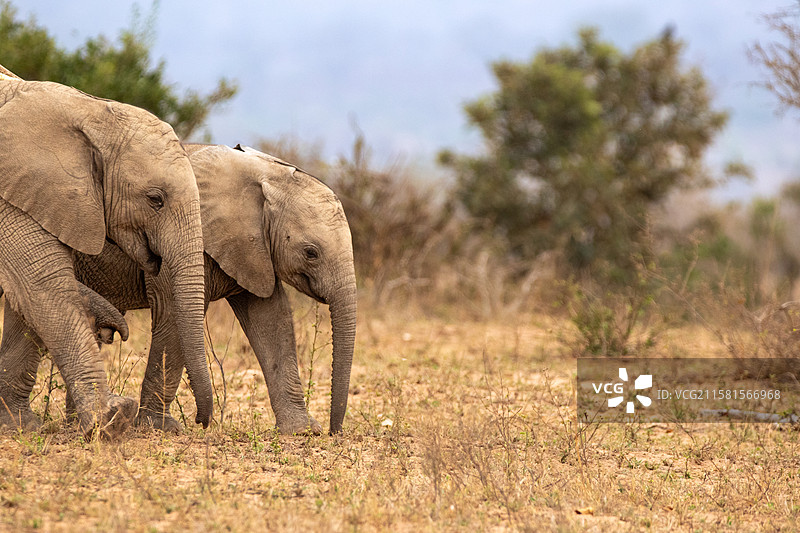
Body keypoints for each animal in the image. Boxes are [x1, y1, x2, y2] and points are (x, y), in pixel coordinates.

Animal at [0, 68, 212, 438]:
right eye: (155, 199)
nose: (202, 422)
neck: (90, 112)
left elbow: (23, 296)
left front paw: (19, 426)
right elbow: (40, 283)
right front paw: (111, 419)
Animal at [0, 144, 357, 435]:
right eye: (311, 252)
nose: (334, 431)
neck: (264, 173)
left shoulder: (254, 249)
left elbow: (272, 320)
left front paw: (302, 432)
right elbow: (173, 315)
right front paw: (161, 428)